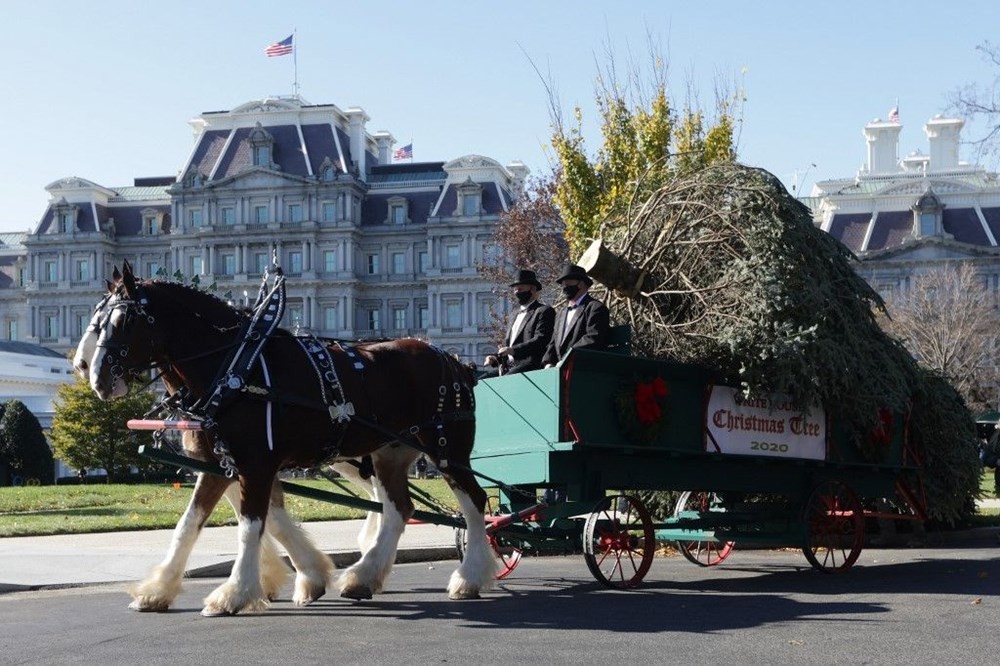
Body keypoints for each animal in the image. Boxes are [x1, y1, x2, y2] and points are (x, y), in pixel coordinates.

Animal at [84, 262, 498, 616]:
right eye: (97, 321)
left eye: (123, 321)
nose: (96, 376)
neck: (234, 366)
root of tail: (454, 361)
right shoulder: (217, 465)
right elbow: (191, 525)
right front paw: (158, 589)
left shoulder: (255, 464)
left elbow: (251, 526)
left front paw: (235, 592)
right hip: (389, 454)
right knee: (399, 509)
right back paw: (363, 577)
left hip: (446, 452)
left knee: (474, 503)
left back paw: (469, 577)